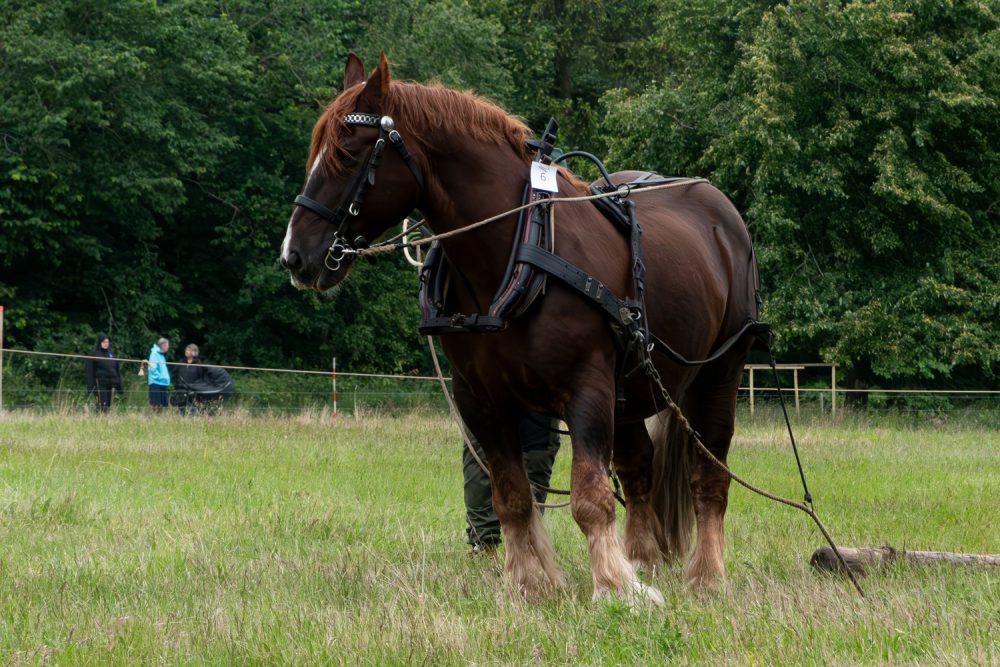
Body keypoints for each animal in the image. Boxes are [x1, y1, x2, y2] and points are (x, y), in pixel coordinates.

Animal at [280, 53, 762, 605]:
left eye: (348, 152)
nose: (295, 255)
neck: (518, 249)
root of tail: (720, 212)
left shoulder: (587, 388)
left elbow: (590, 497)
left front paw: (614, 588)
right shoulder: (480, 399)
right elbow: (511, 495)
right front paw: (528, 583)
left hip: (719, 373)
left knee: (710, 475)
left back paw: (706, 575)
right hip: (632, 390)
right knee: (639, 470)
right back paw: (643, 560)